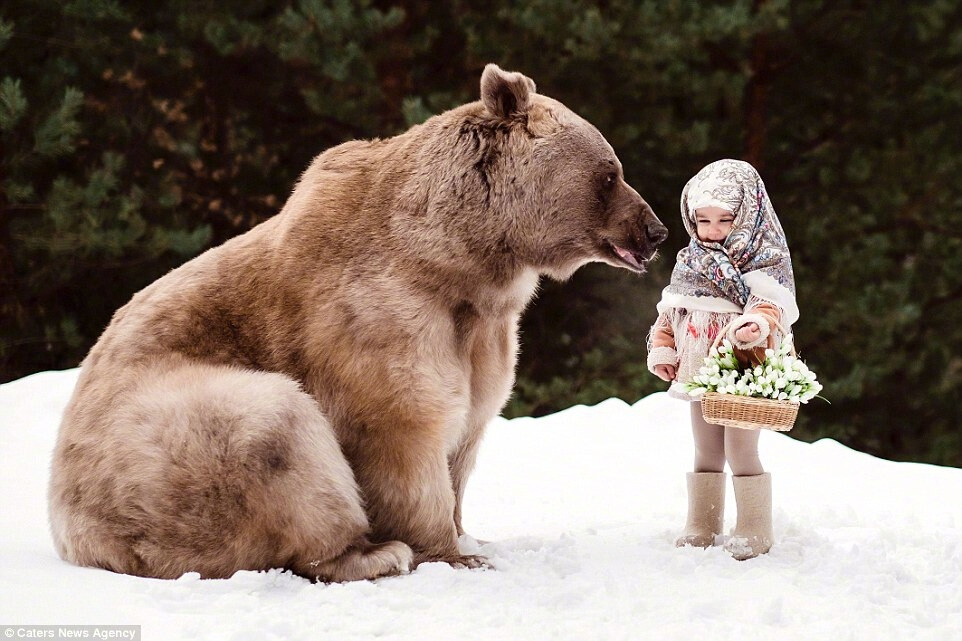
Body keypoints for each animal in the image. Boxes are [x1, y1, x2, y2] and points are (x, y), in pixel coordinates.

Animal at [48, 65, 664, 580]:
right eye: (610, 174)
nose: (654, 230)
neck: (462, 262)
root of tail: (70, 534)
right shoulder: (379, 314)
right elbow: (403, 425)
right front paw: (451, 552)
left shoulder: (483, 334)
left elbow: (470, 428)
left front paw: (472, 535)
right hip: (161, 442)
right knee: (276, 431)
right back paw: (370, 553)